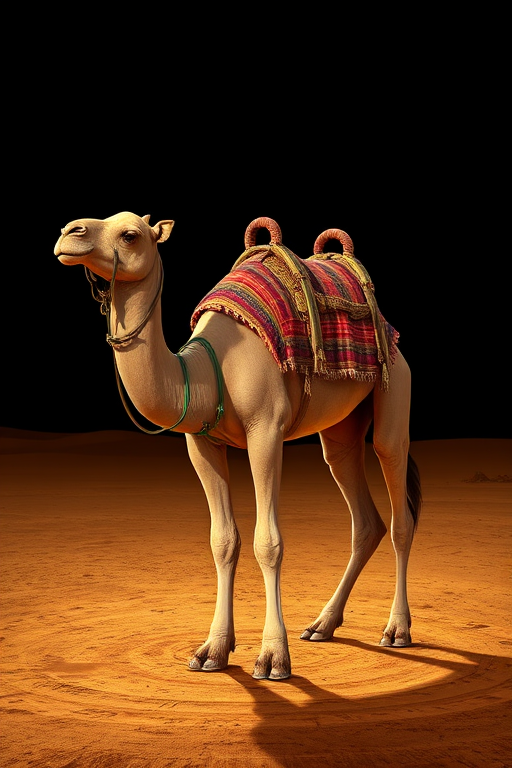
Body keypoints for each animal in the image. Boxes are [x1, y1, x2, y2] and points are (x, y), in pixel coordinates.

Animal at [54, 211, 421, 681]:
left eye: (131, 234)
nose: (69, 233)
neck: (204, 371)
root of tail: (388, 328)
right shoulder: (200, 442)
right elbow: (223, 541)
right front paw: (212, 651)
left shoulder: (266, 430)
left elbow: (269, 542)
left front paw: (273, 659)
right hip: (341, 427)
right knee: (360, 508)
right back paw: (321, 625)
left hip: (395, 384)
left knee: (398, 500)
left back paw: (397, 630)